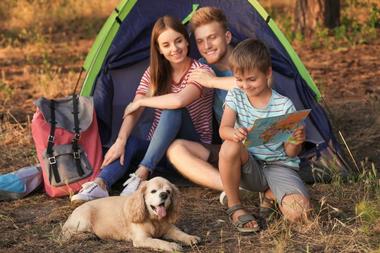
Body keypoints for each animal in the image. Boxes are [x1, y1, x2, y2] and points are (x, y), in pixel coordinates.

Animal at [61, 177, 202, 252]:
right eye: (153, 191)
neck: (155, 220)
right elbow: (158, 241)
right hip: (84, 219)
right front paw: (172, 245)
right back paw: (87, 235)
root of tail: (71, 215)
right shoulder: (142, 239)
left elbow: (179, 233)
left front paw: (190, 237)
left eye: (168, 191)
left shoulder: (169, 229)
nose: (164, 195)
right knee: (69, 233)